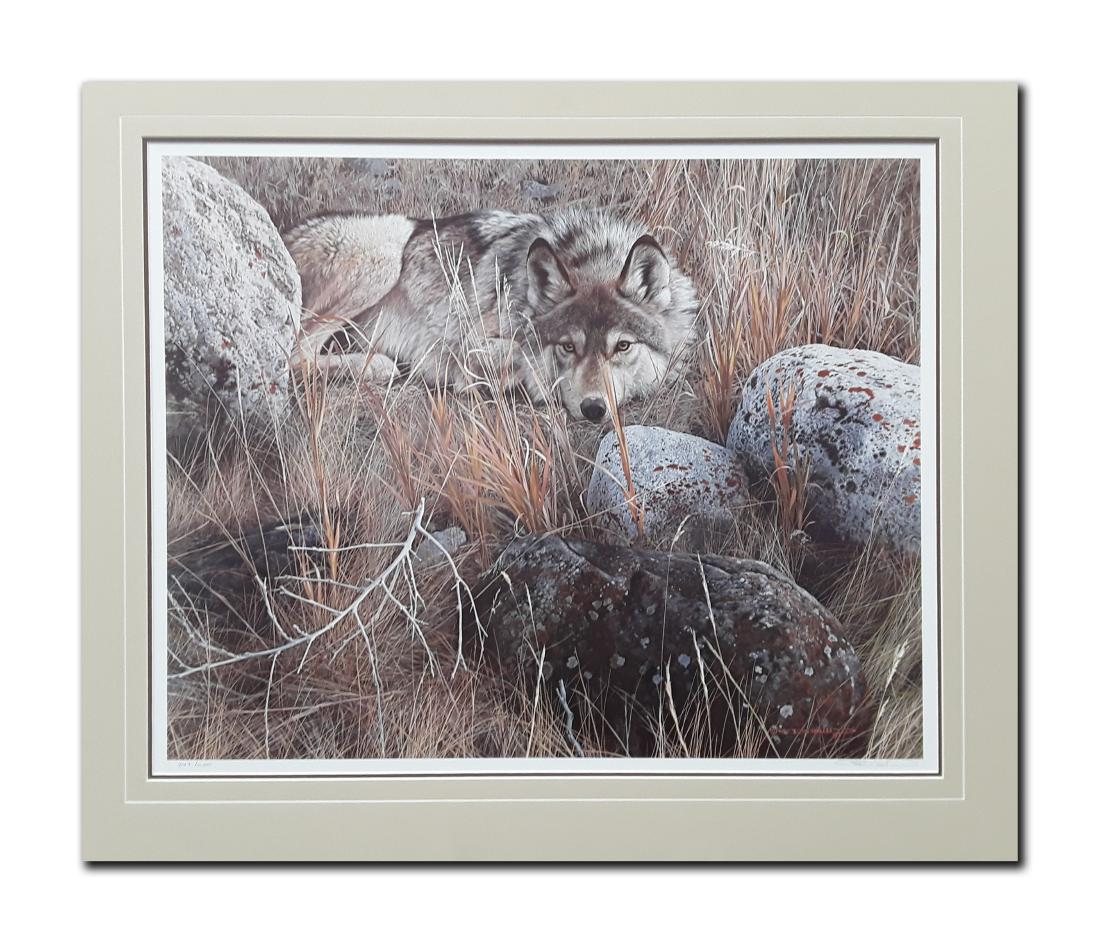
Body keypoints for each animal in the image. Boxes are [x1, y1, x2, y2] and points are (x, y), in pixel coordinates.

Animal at [283, 207, 698, 422]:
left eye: (623, 346)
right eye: (567, 347)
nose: (594, 409)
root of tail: (287, 232)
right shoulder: (469, 342)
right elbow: (519, 355)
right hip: (387, 247)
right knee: (296, 354)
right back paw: (379, 365)